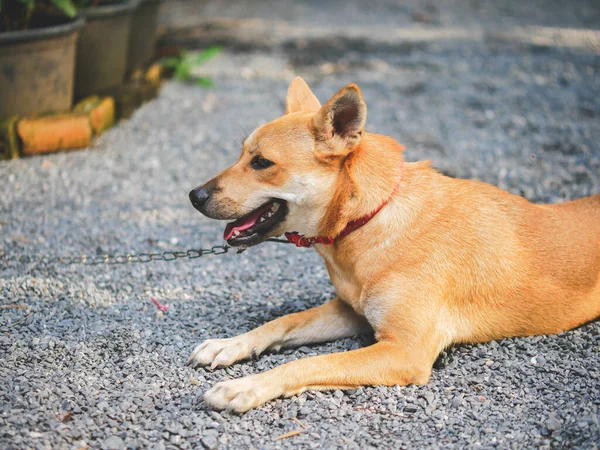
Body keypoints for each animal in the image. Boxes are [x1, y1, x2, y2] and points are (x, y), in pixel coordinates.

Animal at [188, 76, 600, 412]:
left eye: (261, 163)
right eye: (242, 153)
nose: (194, 195)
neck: (370, 217)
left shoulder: (403, 351)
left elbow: (310, 362)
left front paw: (246, 387)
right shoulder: (349, 311)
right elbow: (283, 322)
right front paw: (230, 343)